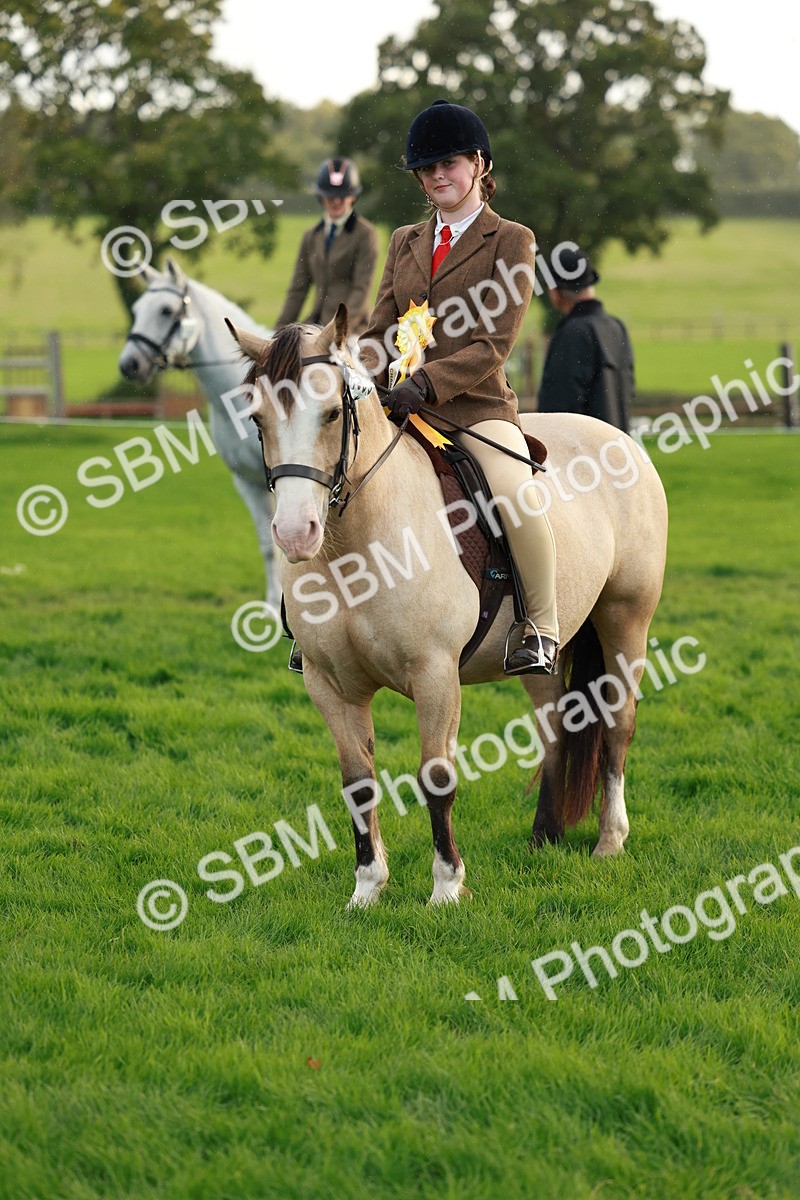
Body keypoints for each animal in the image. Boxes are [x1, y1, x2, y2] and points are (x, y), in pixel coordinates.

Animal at [118, 258, 281, 608]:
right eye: (136, 309)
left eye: (166, 310)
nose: (129, 365)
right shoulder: (248, 482)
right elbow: (269, 546)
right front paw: (274, 606)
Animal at [227, 306, 669, 908]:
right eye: (258, 419)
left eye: (330, 414)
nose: (296, 534)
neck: (355, 550)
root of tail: (620, 436)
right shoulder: (329, 684)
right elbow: (357, 783)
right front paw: (367, 889)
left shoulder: (435, 674)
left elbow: (436, 777)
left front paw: (446, 887)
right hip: (542, 652)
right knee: (557, 724)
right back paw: (544, 839)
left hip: (625, 618)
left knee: (618, 724)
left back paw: (610, 841)